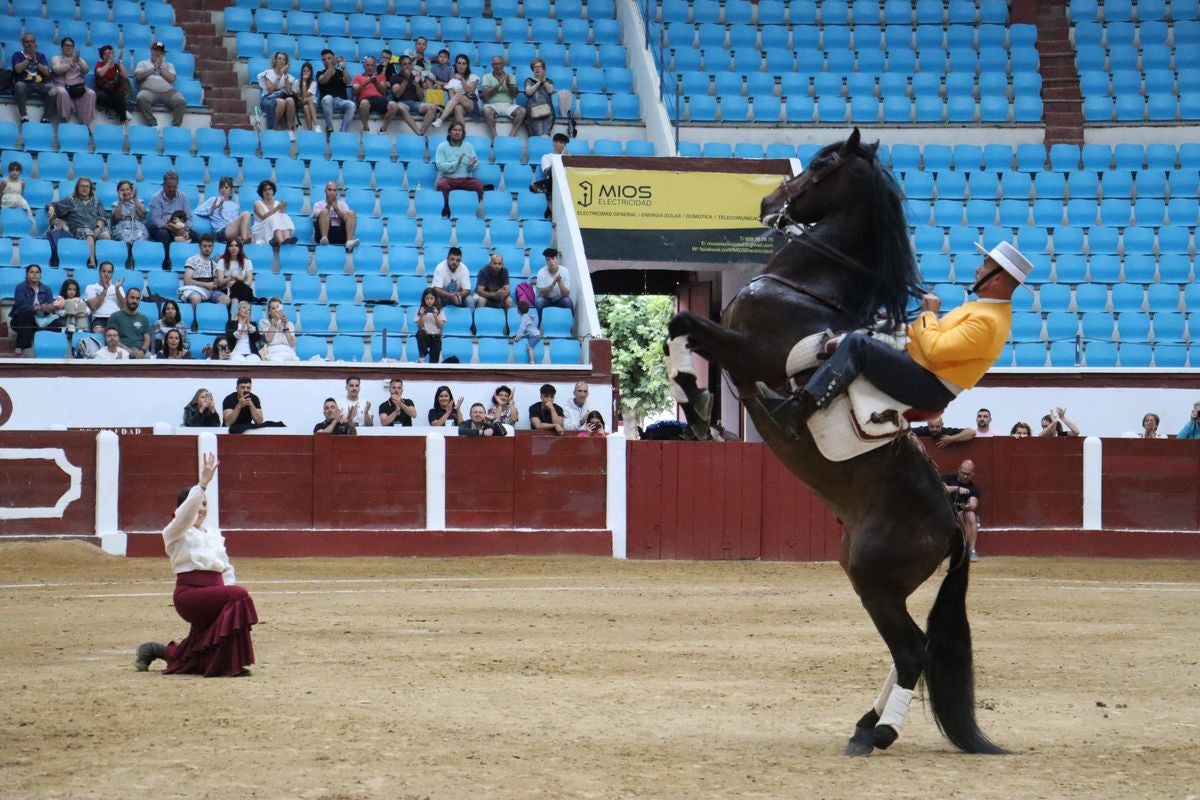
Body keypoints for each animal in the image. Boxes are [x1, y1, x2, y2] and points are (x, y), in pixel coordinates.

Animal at [665, 129, 1006, 757]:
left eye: (822, 165)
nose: (768, 201)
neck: (809, 291)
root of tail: (953, 522)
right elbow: (679, 333)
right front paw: (692, 398)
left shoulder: (746, 351)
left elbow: (682, 327)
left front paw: (692, 395)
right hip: (868, 576)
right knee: (914, 650)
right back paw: (866, 722)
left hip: (874, 577)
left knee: (913, 650)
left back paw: (879, 732)